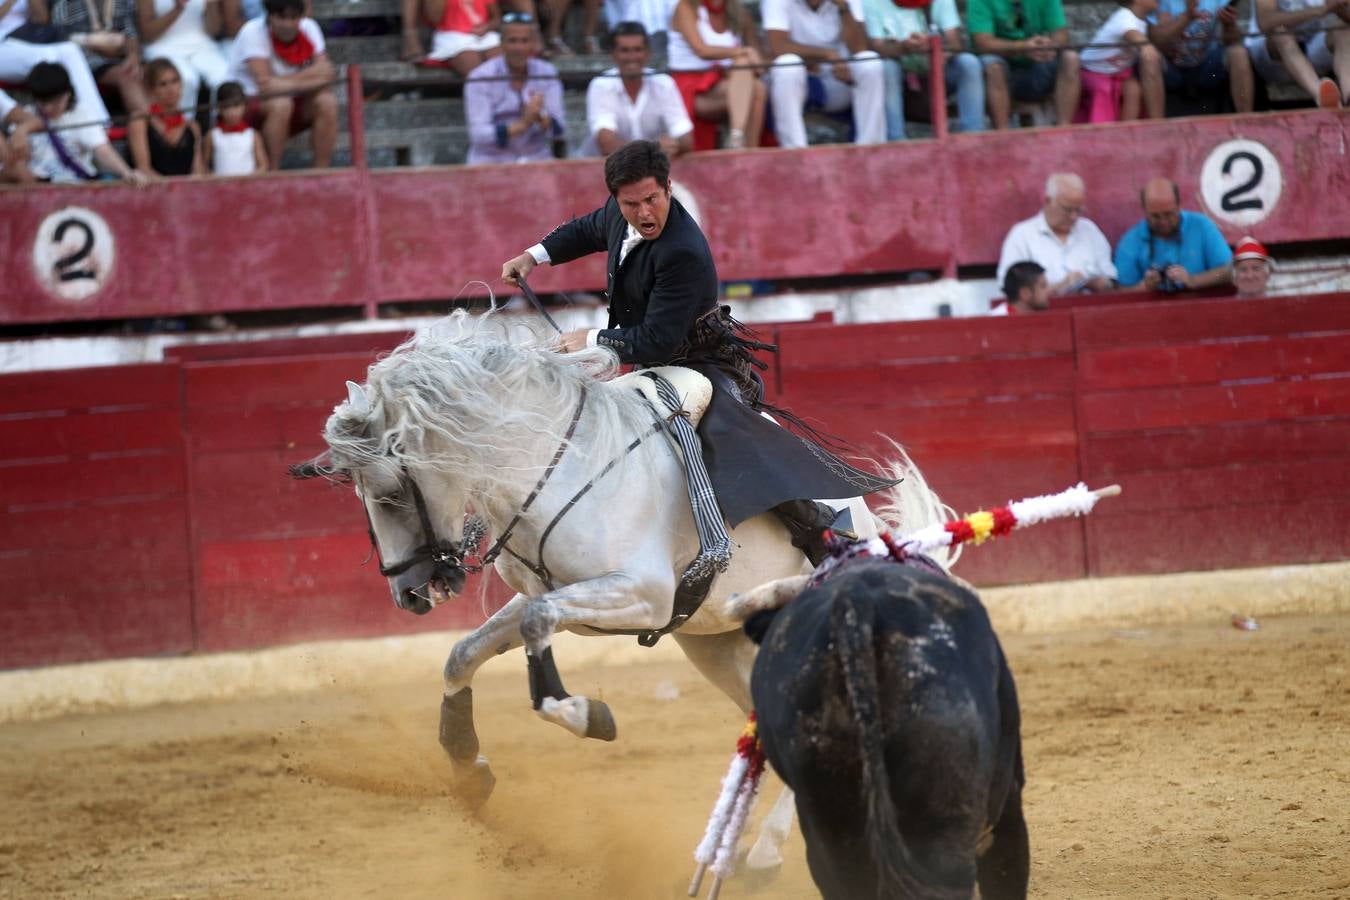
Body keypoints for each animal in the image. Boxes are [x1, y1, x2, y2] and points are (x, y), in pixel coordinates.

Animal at [295, 315, 950, 874]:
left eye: (389, 492)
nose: (409, 595)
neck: (552, 464)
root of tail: (871, 528)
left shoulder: (643, 594)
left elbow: (537, 633)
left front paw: (590, 716)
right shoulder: (557, 594)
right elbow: (466, 652)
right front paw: (468, 767)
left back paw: (766, 851)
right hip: (719, 647)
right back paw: (747, 850)